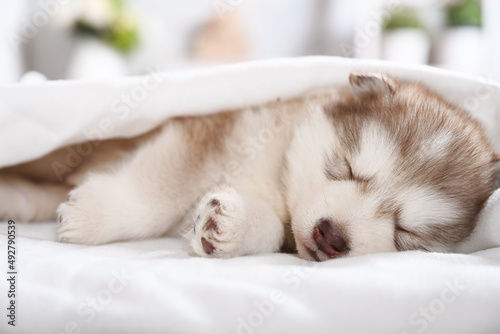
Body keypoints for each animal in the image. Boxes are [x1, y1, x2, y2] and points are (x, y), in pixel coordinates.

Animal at [0, 72, 496, 260]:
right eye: (346, 166)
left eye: (406, 234)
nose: (332, 236)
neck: (276, 172)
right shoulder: (205, 130)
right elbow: (161, 188)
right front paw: (92, 216)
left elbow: (270, 230)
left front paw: (225, 226)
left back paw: (18, 199)